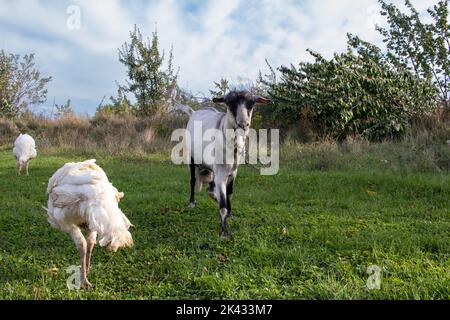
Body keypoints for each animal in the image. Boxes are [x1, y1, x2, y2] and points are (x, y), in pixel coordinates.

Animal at [184, 90, 270, 238]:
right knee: (192, 180)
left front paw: (230, 215)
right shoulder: (221, 174)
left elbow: (229, 194)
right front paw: (224, 231)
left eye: (252, 103)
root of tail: (194, 112)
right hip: (192, 157)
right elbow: (223, 204)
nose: (243, 124)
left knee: (210, 186)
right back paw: (192, 202)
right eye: (229, 103)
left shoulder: (233, 172)